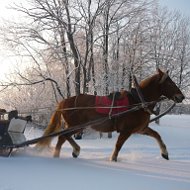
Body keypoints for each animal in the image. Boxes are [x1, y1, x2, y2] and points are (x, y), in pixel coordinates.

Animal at [36, 69, 185, 161]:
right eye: (170, 82)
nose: (182, 96)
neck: (137, 101)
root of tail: (64, 101)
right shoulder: (126, 130)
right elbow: (118, 145)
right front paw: (113, 159)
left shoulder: (140, 129)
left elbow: (157, 135)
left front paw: (165, 153)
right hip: (76, 125)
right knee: (63, 136)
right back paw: (69, 152)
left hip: (76, 126)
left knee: (63, 137)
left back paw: (65, 153)